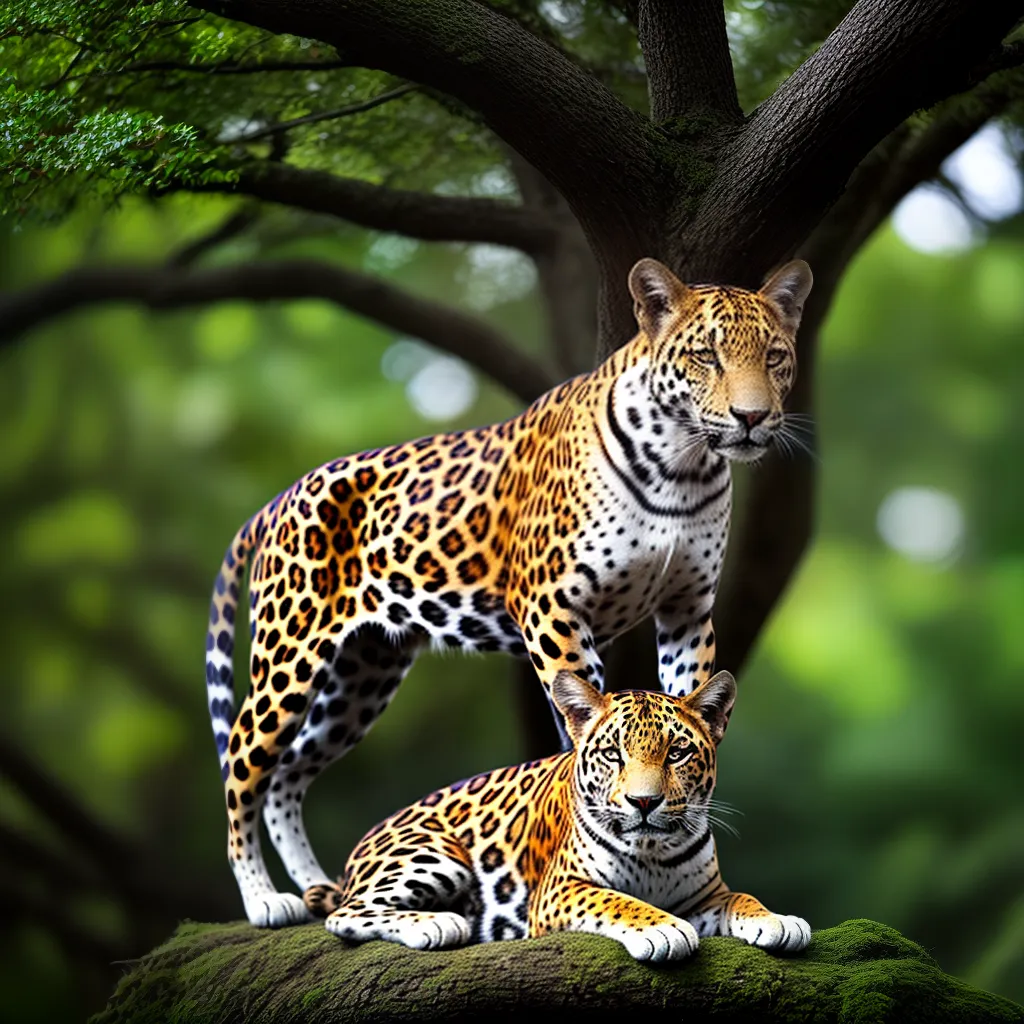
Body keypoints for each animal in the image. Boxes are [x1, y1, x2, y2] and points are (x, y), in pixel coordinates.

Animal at [204, 257, 814, 927]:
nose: (752, 418)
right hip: (289, 657)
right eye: (706, 355)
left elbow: (686, 699)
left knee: (289, 772)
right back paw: (264, 898)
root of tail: (282, 497)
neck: (682, 466)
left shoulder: (688, 609)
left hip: (360, 677)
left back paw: (319, 886)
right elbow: (581, 721)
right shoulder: (554, 609)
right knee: (243, 767)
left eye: (776, 357)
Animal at [302, 670, 811, 960]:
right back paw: (436, 923)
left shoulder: (706, 897)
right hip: (436, 853)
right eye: (613, 753)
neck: (651, 851)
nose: (644, 802)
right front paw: (662, 927)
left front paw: (777, 920)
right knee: (345, 913)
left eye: (677, 752)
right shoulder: (560, 889)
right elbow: (617, 900)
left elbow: (741, 897)